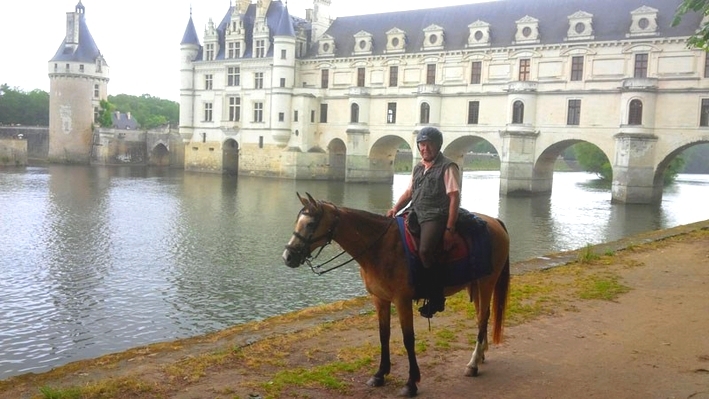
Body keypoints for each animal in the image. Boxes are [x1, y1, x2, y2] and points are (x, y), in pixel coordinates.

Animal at [282, 193, 508, 396]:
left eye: (310, 224)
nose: (288, 256)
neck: (379, 248)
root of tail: (494, 222)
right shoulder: (380, 299)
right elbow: (384, 335)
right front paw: (380, 374)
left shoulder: (402, 301)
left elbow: (408, 339)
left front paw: (411, 383)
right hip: (475, 285)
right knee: (481, 317)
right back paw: (480, 355)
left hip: (487, 282)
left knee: (482, 318)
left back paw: (473, 364)